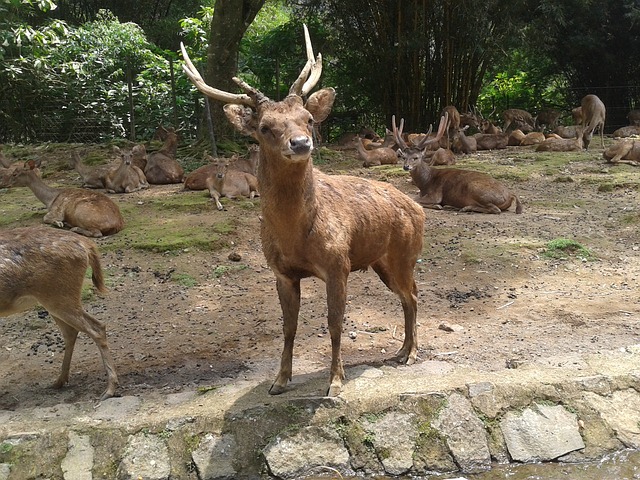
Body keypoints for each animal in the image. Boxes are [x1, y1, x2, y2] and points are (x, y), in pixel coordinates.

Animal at [0, 227, 119, 400]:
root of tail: (87, 245)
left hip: (59, 296)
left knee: (96, 328)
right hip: (56, 300)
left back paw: (109, 389)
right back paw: (59, 381)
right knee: (72, 331)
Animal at [182, 25, 428, 398]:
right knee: (405, 296)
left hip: (404, 253)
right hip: (381, 262)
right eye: (264, 126)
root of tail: (418, 208)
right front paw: (280, 381)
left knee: (413, 294)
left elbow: (335, 323)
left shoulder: (338, 263)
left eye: (308, 119)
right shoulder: (281, 272)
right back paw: (400, 351)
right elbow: (289, 327)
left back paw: (412, 354)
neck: (295, 236)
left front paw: (335, 382)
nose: (300, 143)